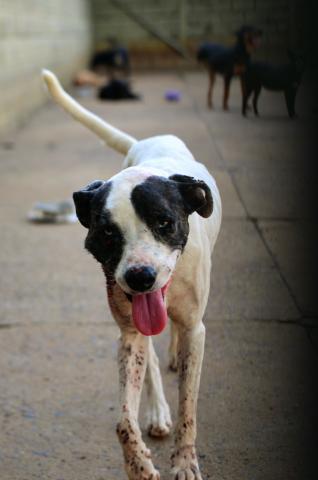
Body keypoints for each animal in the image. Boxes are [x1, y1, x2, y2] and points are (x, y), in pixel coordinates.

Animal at [42, 68, 221, 480]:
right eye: (107, 233)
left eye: (164, 222)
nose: (140, 278)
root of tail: (145, 143)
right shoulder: (129, 334)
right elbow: (124, 420)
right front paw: (138, 464)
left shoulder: (195, 328)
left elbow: (189, 405)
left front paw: (185, 462)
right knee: (150, 360)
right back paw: (156, 412)